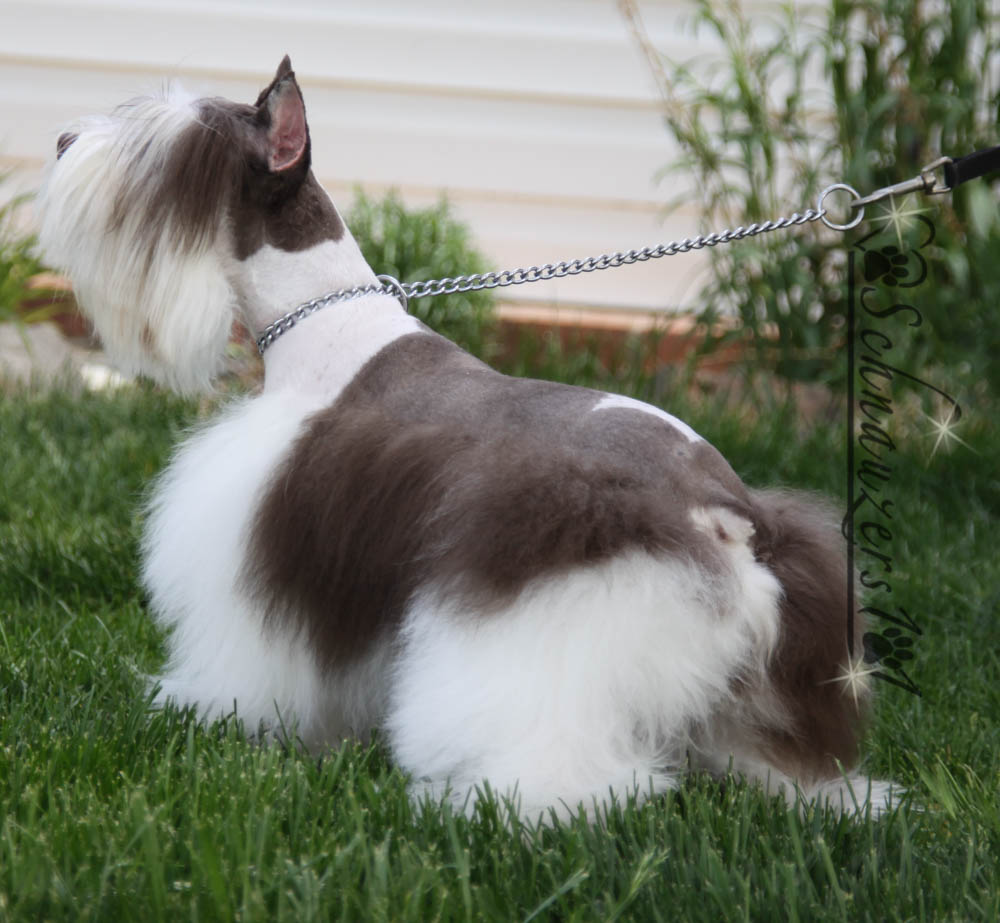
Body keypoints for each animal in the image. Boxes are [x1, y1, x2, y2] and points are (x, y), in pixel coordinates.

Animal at [38, 56, 896, 821]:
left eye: (168, 152)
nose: (59, 140)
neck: (327, 327)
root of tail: (731, 516)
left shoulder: (269, 541)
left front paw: (219, 713)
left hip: (551, 634)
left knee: (568, 763)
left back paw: (500, 801)